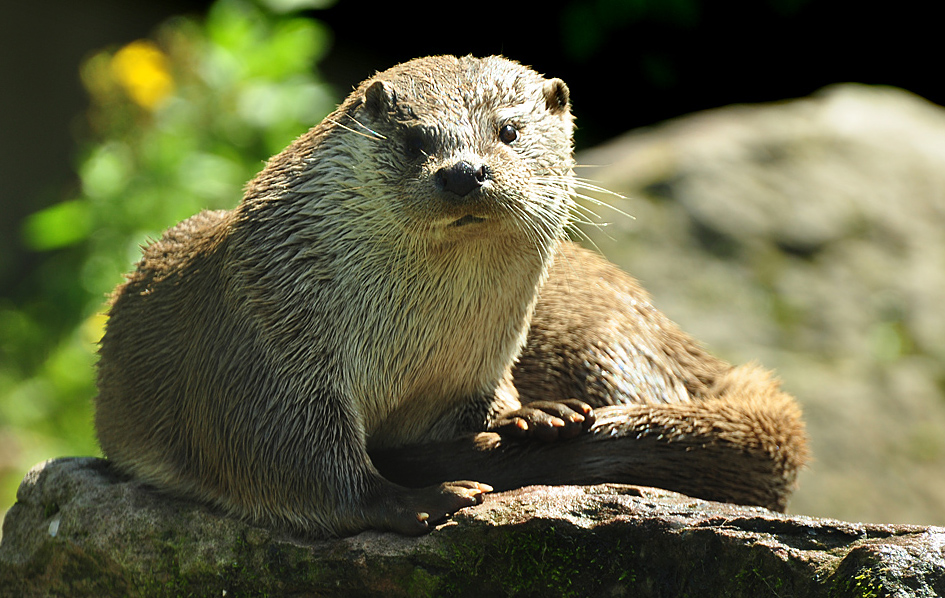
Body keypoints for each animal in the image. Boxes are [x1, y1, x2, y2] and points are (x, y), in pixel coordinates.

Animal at [95, 55, 808, 538]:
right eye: (416, 140)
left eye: (509, 132)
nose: (465, 172)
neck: (411, 345)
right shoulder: (268, 350)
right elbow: (296, 463)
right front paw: (420, 498)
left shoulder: (473, 368)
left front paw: (531, 416)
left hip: (604, 336)